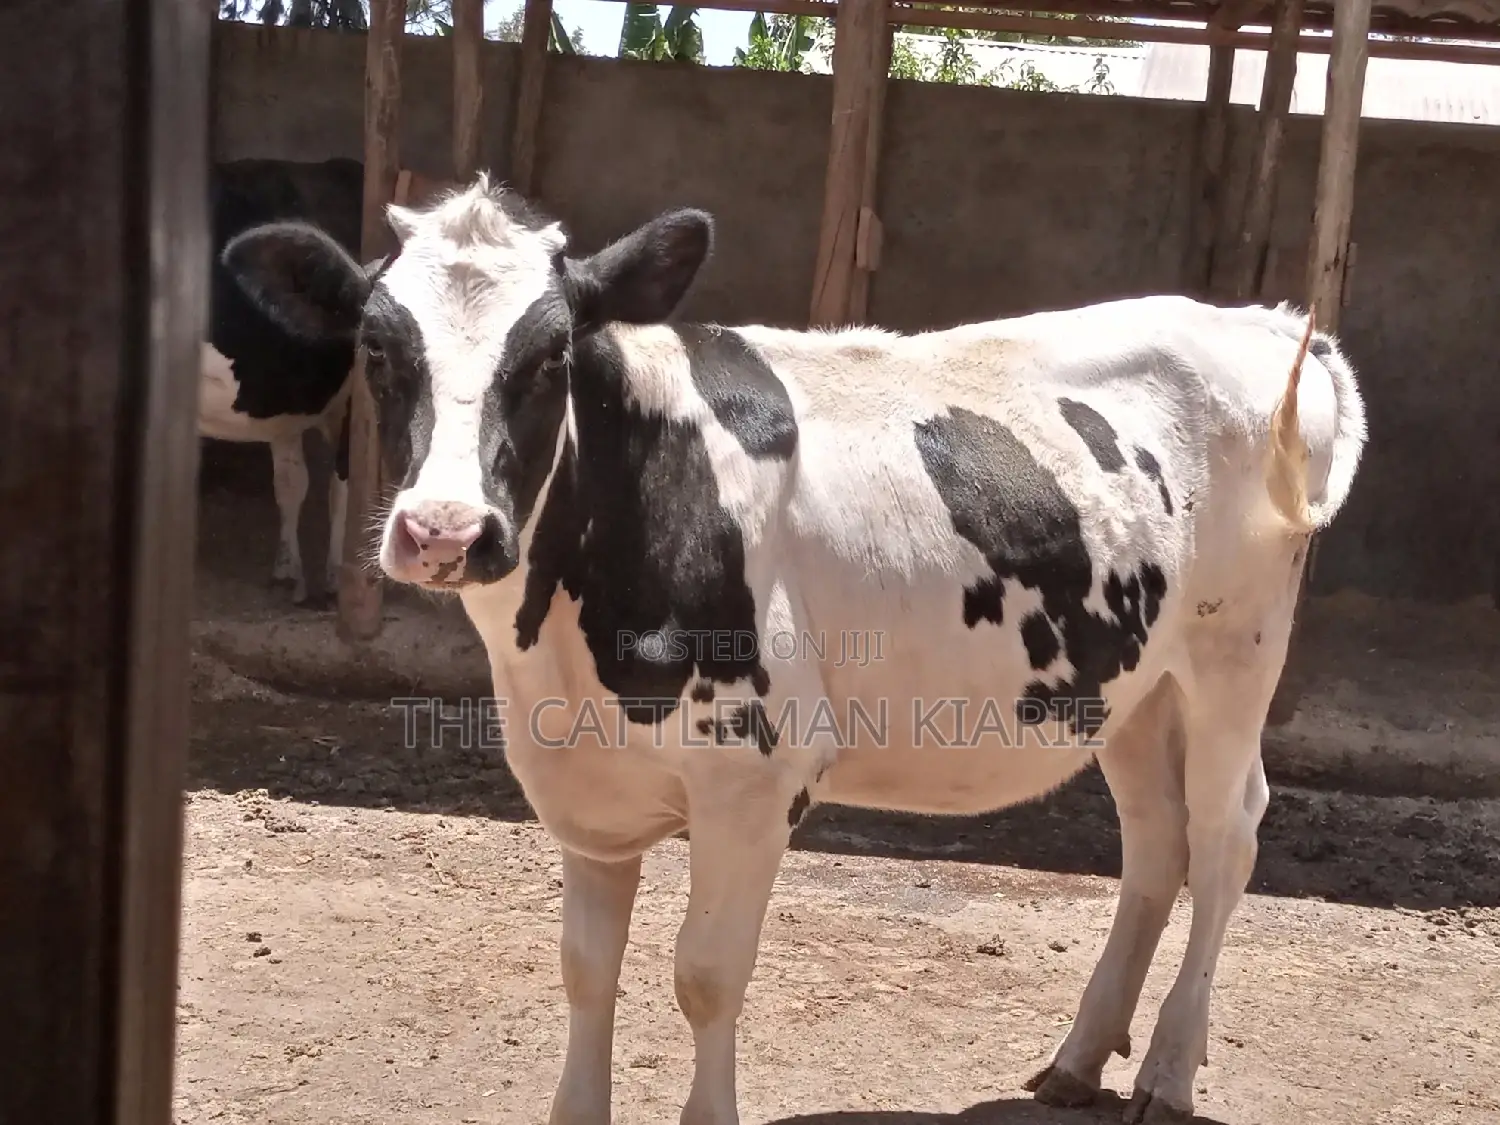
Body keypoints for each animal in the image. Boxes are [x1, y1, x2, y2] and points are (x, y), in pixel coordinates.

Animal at [220, 175, 1366, 1125]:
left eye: (549, 358)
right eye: (378, 351)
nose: (446, 531)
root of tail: (1260, 321)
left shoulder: (752, 775)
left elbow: (705, 974)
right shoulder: (583, 782)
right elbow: (587, 970)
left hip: (1233, 653)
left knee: (1226, 834)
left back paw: (1167, 1074)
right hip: (1131, 678)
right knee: (1157, 841)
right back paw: (1081, 1061)